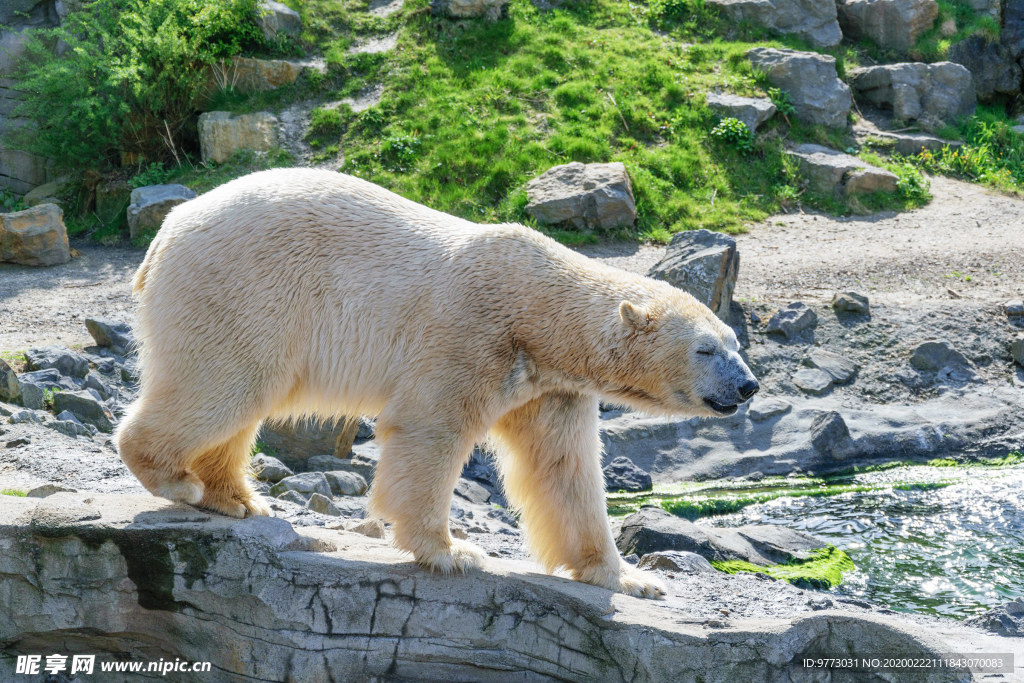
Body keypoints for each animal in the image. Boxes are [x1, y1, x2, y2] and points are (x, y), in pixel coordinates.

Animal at [117, 169, 761, 598]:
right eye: (707, 349)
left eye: (735, 343)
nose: (749, 387)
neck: (538, 313)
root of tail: (166, 232)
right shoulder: (470, 332)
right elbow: (432, 429)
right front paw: (453, 552)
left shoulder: (550, 386)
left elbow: (564, 468)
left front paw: (625, 577)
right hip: (244, 289)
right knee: (221, 383)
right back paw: (176, 480)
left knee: (239, 399)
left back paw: (236, 498)